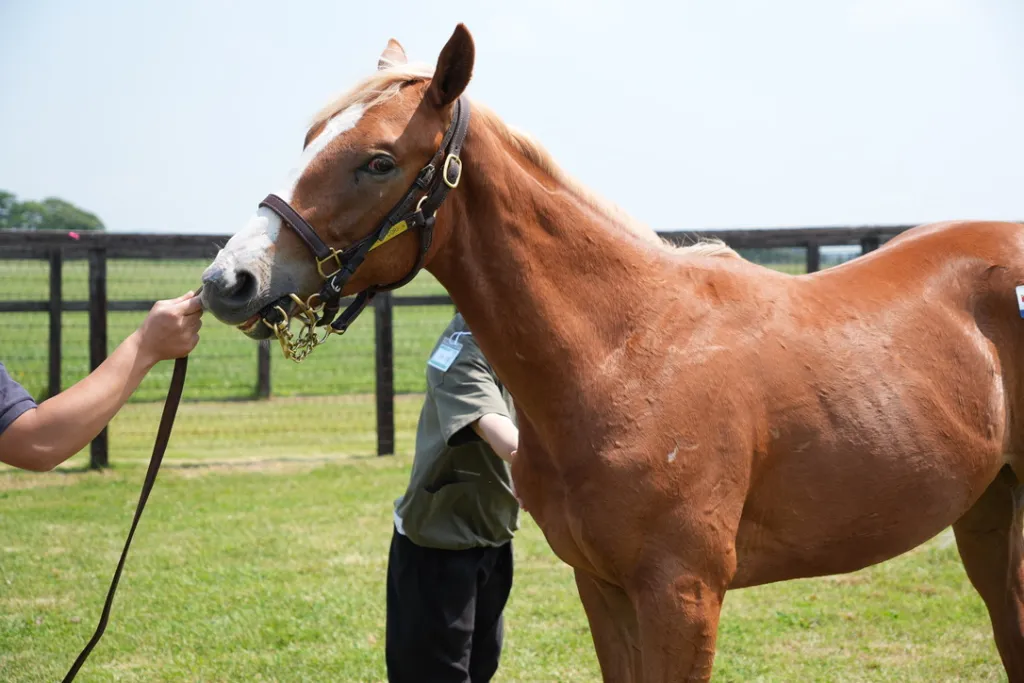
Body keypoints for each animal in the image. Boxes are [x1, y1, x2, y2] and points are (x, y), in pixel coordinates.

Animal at [200, 25, 1024, 682]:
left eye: (376, 160)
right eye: (310, 142)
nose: (228, 280)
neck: (627, 351)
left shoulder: (683, 596)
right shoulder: (603, 589)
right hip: (989, 514)